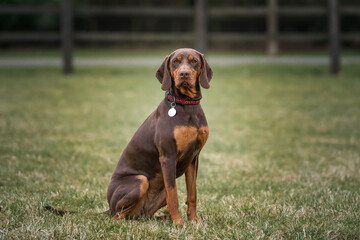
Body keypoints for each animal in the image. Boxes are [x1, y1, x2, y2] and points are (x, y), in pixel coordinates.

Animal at [107, 47, 214, 225]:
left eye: (194, 61)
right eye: (175, 61)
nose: (184, 74)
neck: (187, 105)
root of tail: (108, 206)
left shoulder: (194, 157)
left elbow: (192, 193)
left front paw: (194, 220)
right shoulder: (168, 156)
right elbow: (174, 196)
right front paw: (178, 223)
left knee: (142, 213)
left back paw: (160, 217)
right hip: (140, 181)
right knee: (118, 216)